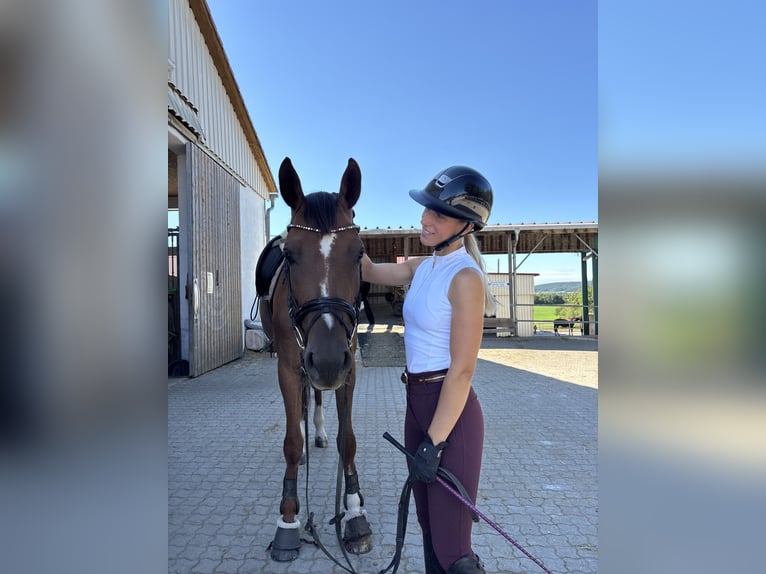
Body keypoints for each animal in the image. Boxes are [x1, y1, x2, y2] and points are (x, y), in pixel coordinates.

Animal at [262, 157, 373, 563]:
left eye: (358, 253)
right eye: (290, 255)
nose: (325, 360)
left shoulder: (348, 367)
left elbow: (348, 439)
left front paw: (354, 513)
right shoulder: (288, 366)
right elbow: (292, 441)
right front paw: (288, 520)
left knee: (318, 397)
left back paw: (320, 432)